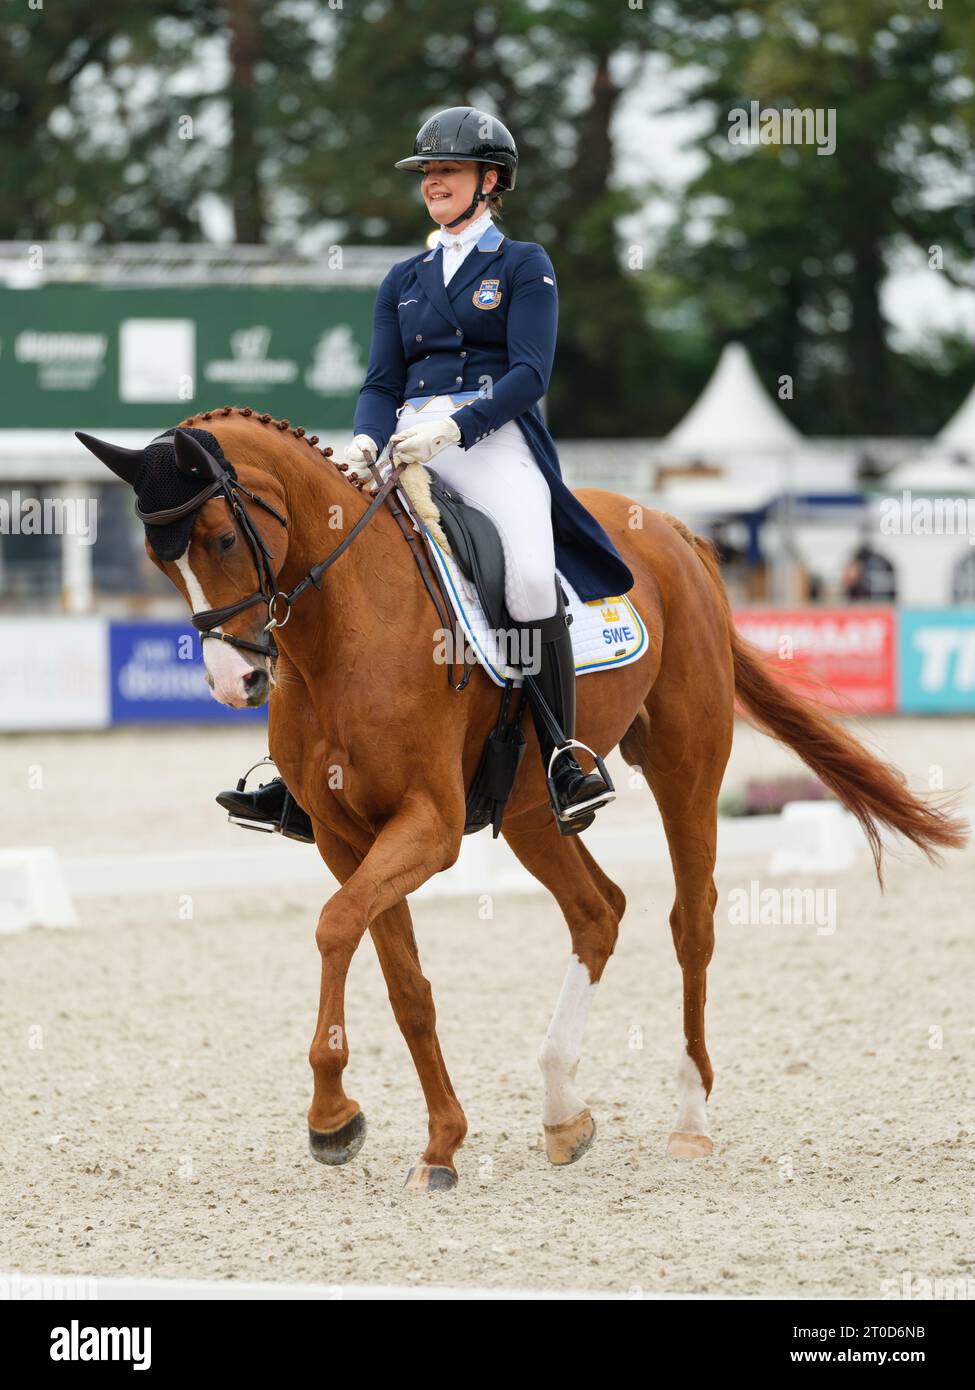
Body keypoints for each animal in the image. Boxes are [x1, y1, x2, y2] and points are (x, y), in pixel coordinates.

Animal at [79, 405, 962, 1189]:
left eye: (224, 539)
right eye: (160, 558)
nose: (237, 682)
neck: (345, 629)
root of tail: (671, 530)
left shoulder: (428, 827)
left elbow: (334, 928)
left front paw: (332, 1118)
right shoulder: (343, 835)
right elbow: (403, 983)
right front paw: (438, 1144)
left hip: (686, 764)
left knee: (691, 923)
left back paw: (688, 1119)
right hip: (535, 809)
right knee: (597, 911)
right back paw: (563, 1111)